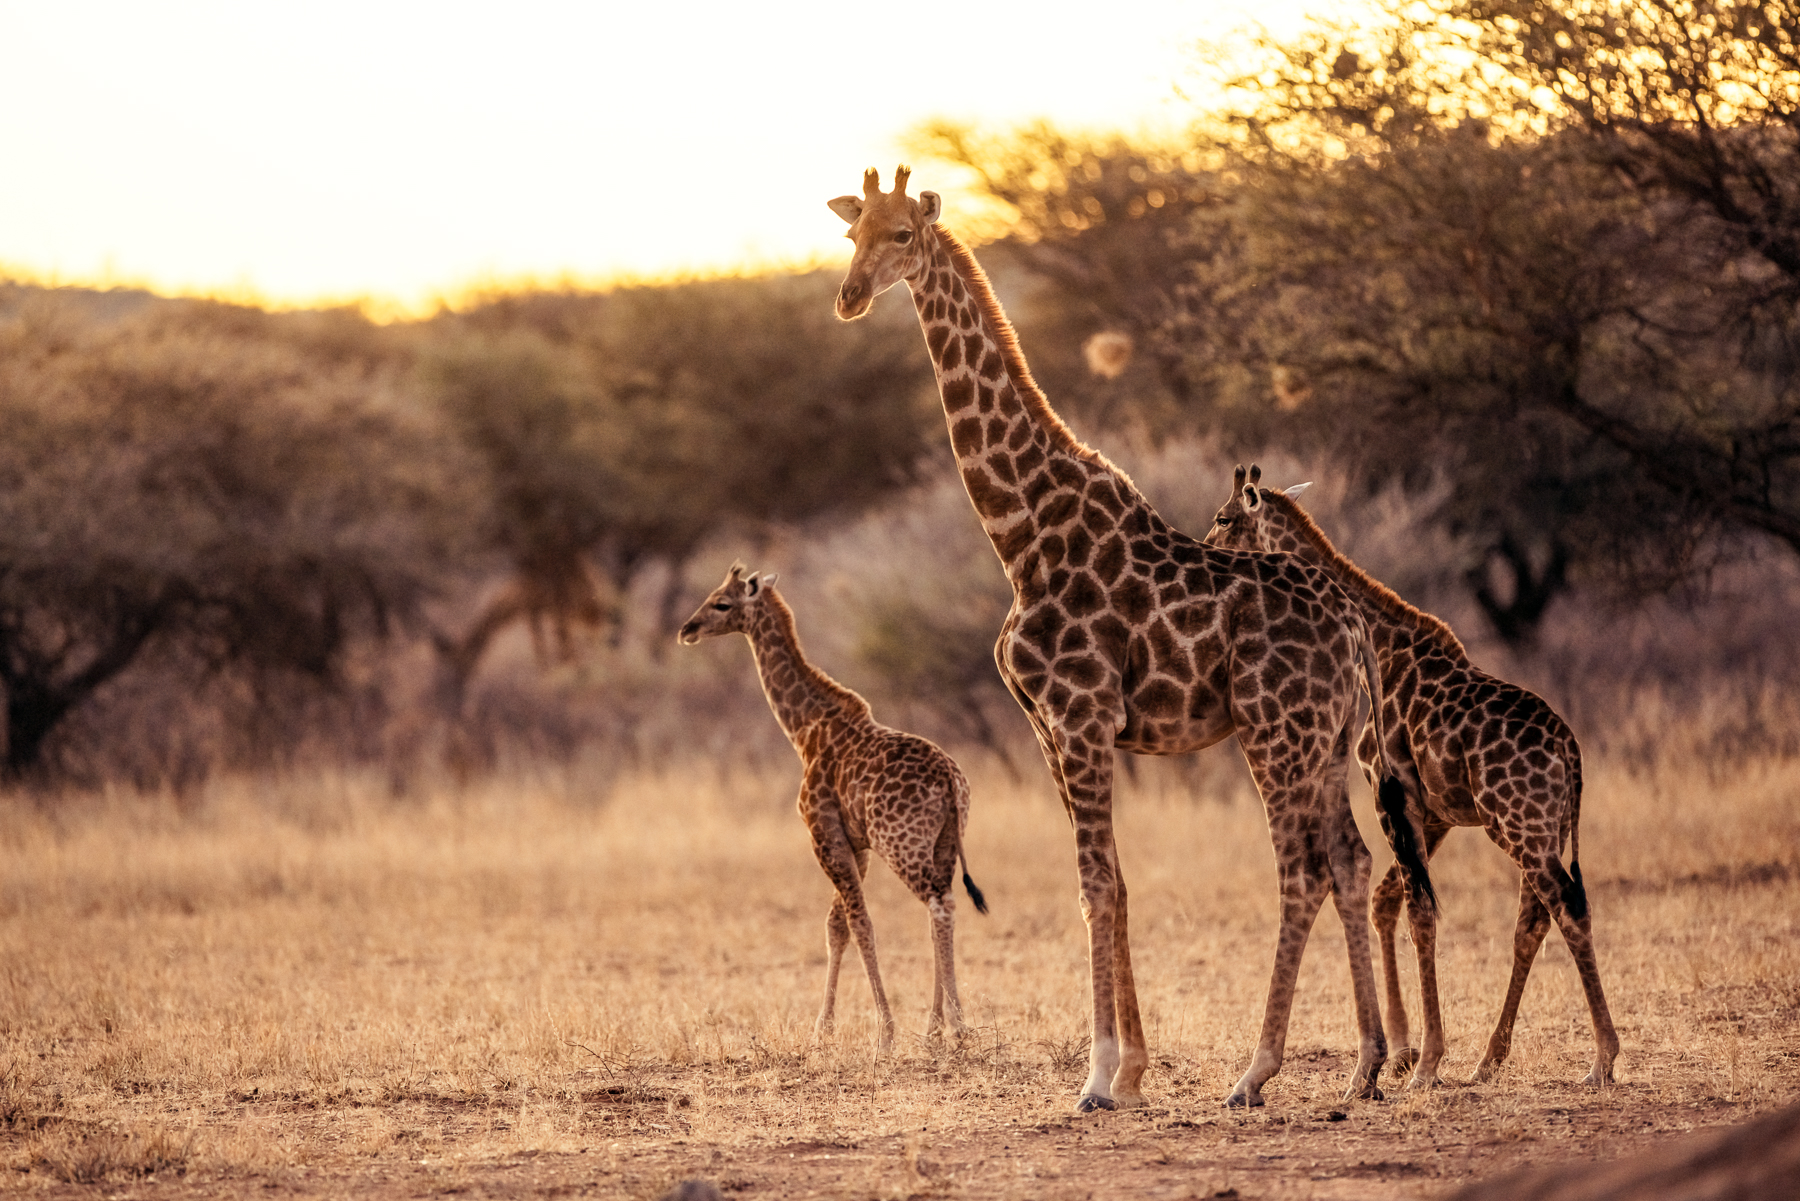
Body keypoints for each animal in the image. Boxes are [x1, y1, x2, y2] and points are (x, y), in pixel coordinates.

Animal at [677, 563, 987, 1048]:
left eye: (721, 603)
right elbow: (837, 926)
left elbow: (859, 925)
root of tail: (951, 783)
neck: (805, 730)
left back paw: (954, 1025)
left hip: (902, 845)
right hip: (944, 844)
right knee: (940, 906)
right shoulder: (856, 844)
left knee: (939, 904)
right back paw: (936, 1026)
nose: (686, 630)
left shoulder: (823, 835)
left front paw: (883, 1032)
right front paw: (823, 1029)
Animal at [830, 167, 1413, 1111]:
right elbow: (1119, 884)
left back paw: (1256, 1069)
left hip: (1273, 734)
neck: (1021, 531)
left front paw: (1098, 1074)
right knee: (1352, 861)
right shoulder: (1048, 730)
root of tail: (1354, 627)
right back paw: (1364, 1062)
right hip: (1326, 742)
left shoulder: (1079, 718)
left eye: (902, 236)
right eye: (852, 234)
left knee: (1302, 871)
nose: (848, 296)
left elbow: (1095, 885)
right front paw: (1134, 1069)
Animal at [1203, 465, 1620, 1088]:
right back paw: (1489, 1059)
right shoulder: (1433, 811)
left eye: (1225, 518)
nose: (1205, 552)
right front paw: (1399, 1055)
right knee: (1533, 919)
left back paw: (1602, 1059)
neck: (1380, 645)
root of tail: (1571, 754)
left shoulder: (1390, 790)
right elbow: (1388, 903)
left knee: (1567, 906)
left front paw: (1424, 1062)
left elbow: (1419, 911)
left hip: (1518, 825)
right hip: (1536, 829)